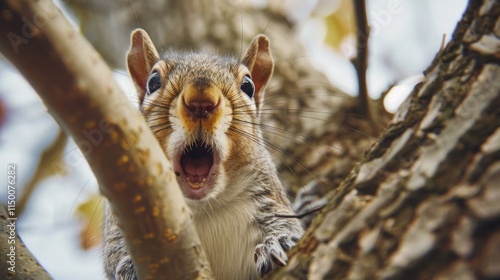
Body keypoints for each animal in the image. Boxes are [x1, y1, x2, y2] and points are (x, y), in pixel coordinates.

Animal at [103, 29, 302, 280]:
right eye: (153, 82)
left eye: (248, 86)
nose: (201, 100)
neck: (204, 207)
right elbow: (114, 255)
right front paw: (129, 271)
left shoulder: (270, 198)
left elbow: (288, 225)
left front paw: (278, 243)